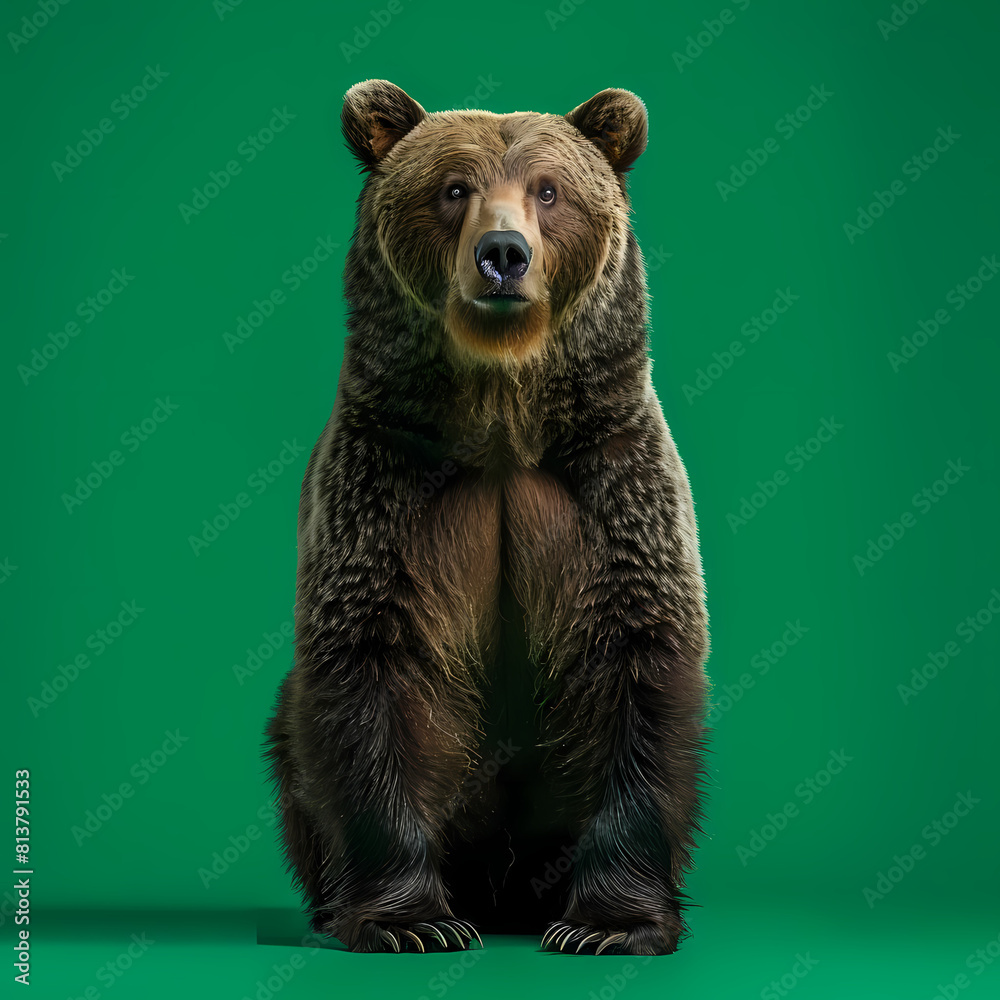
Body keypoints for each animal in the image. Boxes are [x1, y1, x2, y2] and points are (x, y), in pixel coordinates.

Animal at [263, 79, 710, 957]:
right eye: (453, 187)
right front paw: (411, 921)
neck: (502, 414)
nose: (503, 253)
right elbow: (370, 667)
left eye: (550, 189)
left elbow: (638, 666)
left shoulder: (610, 479)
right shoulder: (386, 484)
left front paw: (609, 924)